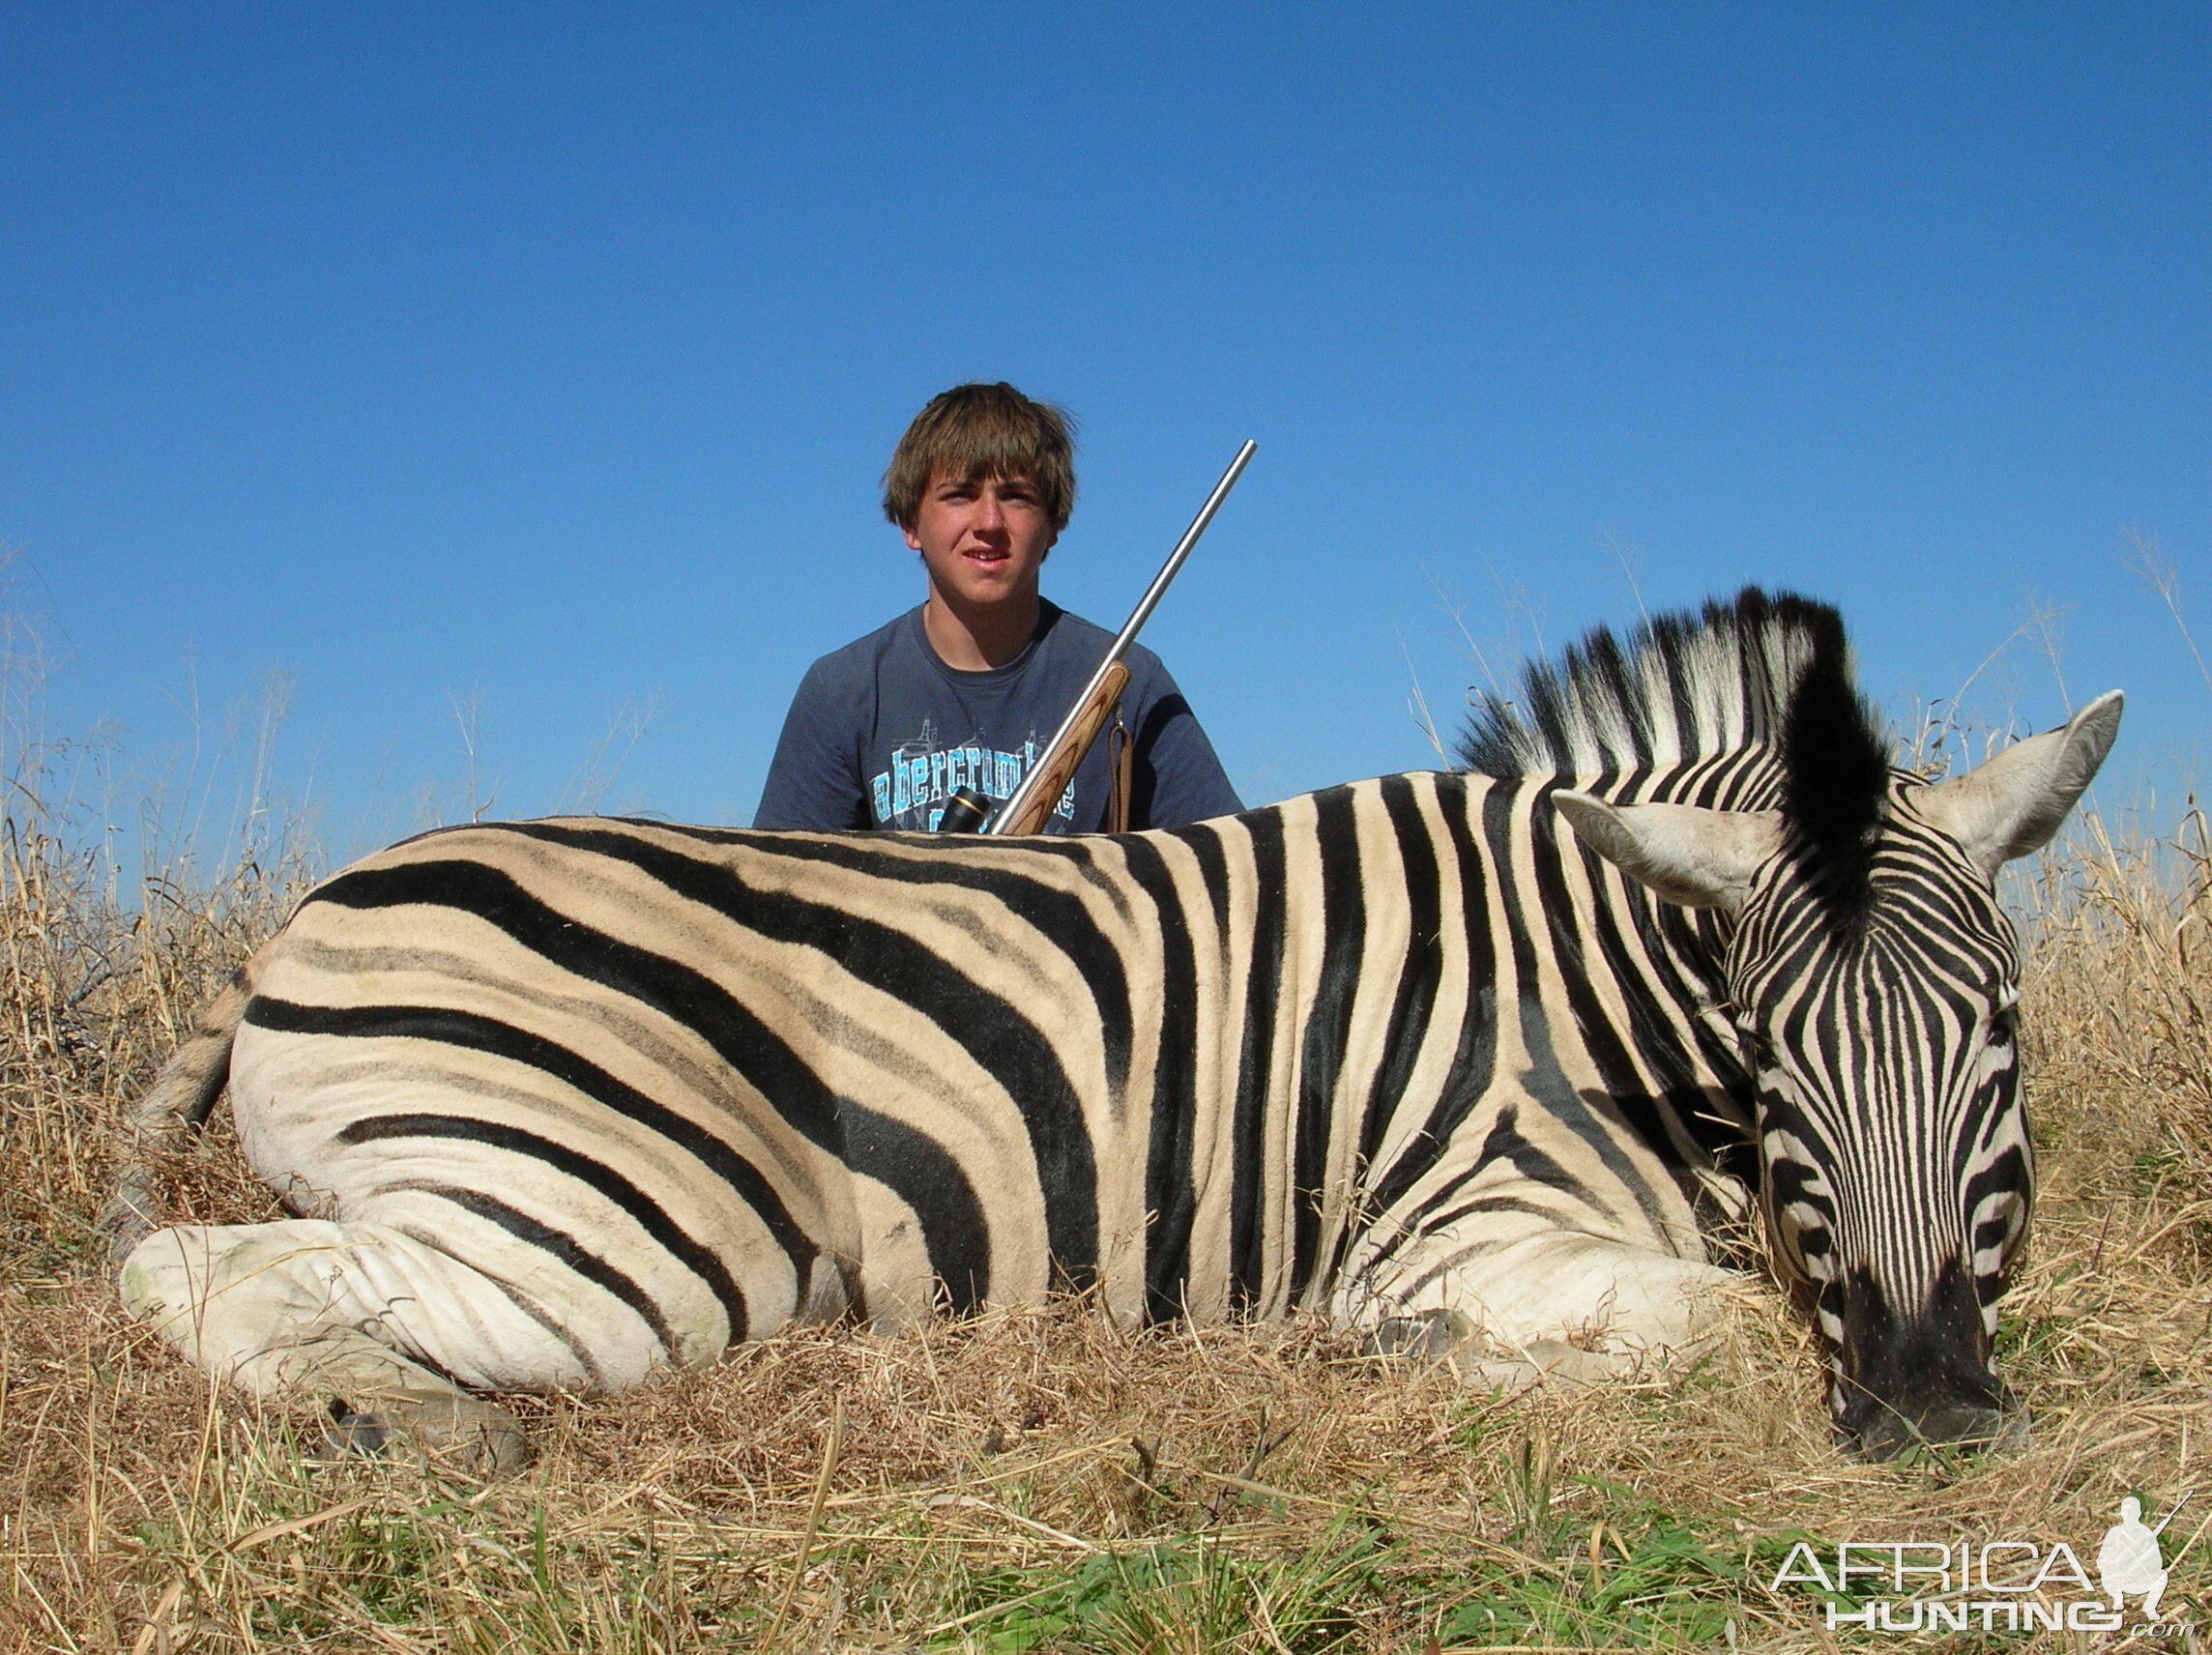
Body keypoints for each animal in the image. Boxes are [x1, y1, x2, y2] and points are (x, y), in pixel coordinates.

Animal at [112, 588, 2114, 1468]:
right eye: (1776, 1057)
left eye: (1999, 1044)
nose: (1932, 1412)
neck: (1586, 983)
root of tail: (308, 910)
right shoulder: (1449, 1224)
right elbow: (1696, 1324)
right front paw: (1420, 1364)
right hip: (639, 1232)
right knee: (182, 1278)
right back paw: (407, 1424)